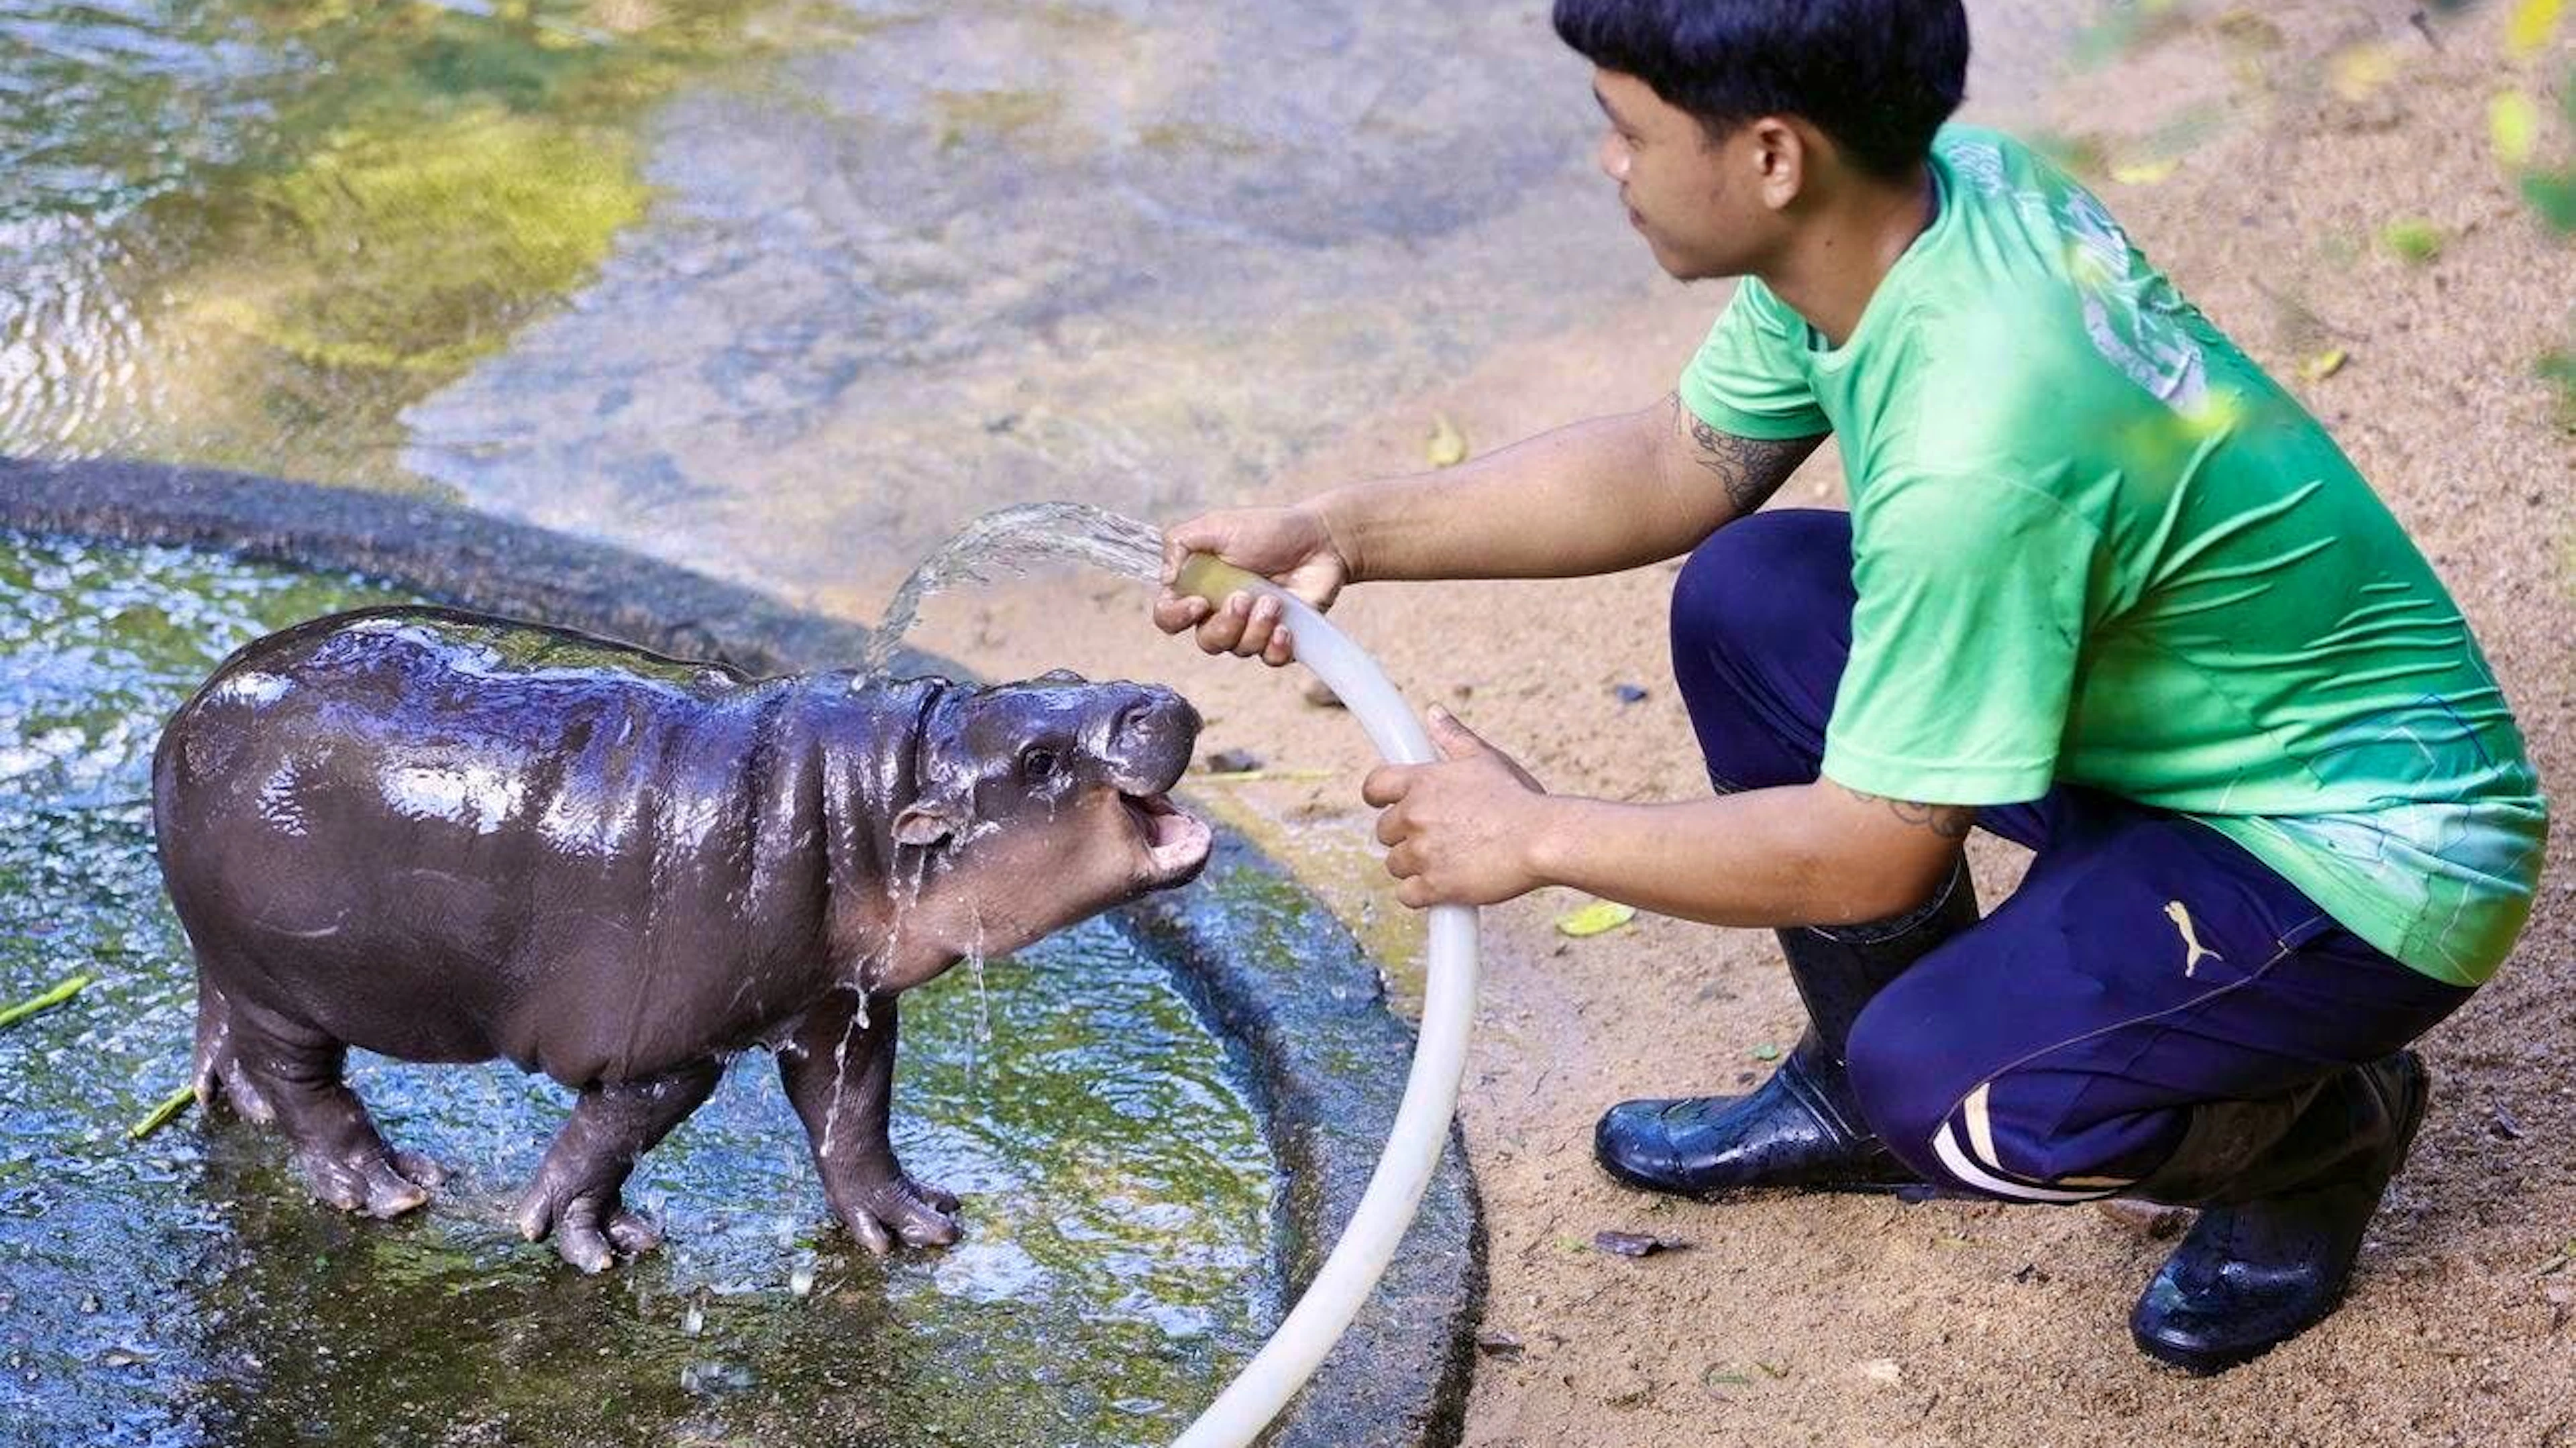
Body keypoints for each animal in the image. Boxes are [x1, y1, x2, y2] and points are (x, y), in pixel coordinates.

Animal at [151, 606, 1211, 1271]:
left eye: (1066, 674)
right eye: (1037, 759)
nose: (1164, 698)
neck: (872, 794)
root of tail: (187, 713)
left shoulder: (839, 1003)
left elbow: (852, 1113)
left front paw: (913, 1224)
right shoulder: (664, 1045)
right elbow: (616, 1133)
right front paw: (592, 1242)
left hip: (232, 956)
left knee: (224, 1021)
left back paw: (236, 1102)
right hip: (287, 982)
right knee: (309, 1085)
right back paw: (392, 1187)